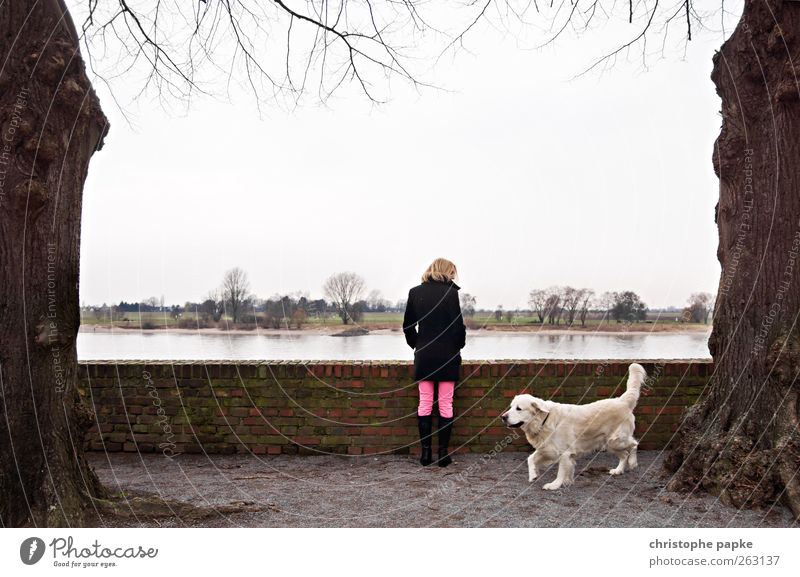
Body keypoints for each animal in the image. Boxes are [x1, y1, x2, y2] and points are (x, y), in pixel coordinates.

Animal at [504, 362, 648, 488]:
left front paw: (554, 485)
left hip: (616, 440)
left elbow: (561, 472)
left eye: (518, 408)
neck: (544, 421)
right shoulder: (548, 448)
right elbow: (530, 458)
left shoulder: (565, 453)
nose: (503, 417)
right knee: (624, 454)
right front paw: (533, 475)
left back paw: (633, 462)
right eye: (511, 407)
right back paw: (618, 470)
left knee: (634, 444)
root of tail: (622, 400)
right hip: (609, 443)